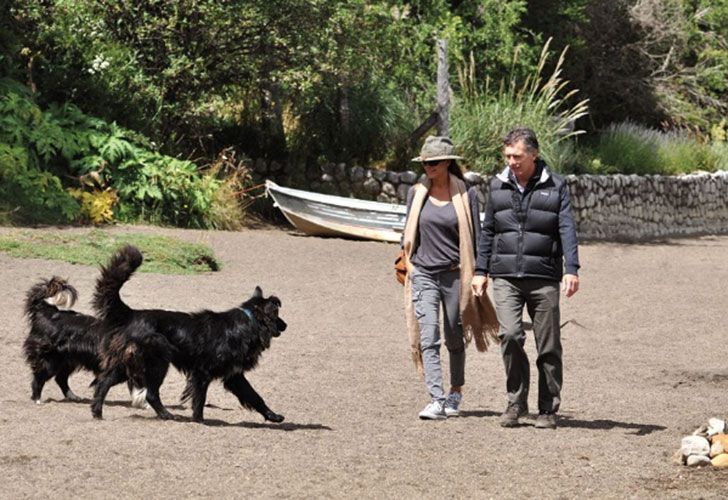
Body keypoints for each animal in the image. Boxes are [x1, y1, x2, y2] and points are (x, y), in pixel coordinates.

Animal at [23, 278, 148, 406]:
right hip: (51, 360)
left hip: (68, 361)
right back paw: (37, 399)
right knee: (39, 378)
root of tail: (47, 313)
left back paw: (73, 396)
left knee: (60, 379)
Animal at [89, 245, 288, 422]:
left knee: (103, 383)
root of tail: (132, 313)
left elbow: (255, 396)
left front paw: (273, 416)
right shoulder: (202, 372)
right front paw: (198, 420)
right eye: (277, 316)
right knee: (150, 394)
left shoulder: (234, 375)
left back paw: (97, 412)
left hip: (129, 364)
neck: (247, 323)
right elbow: (199, 399)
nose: (286, 325)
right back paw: (167, 415)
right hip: (156, 363)